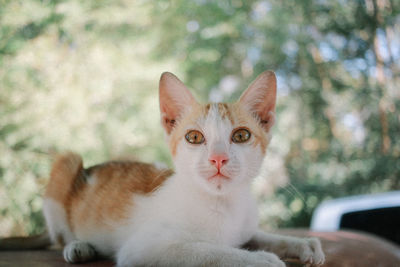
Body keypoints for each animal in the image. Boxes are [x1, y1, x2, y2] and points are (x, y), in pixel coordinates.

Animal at [0, 70, 324, 266]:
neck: (221, 204)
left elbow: (261, 236)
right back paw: (77, 246)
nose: (218, 158)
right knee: (58, 239)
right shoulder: (144, 248)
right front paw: (260, 260)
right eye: (194, 137)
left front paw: (302, 244)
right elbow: (206, 251)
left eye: (241, 135)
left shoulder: (243, 228)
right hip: (67, 164)